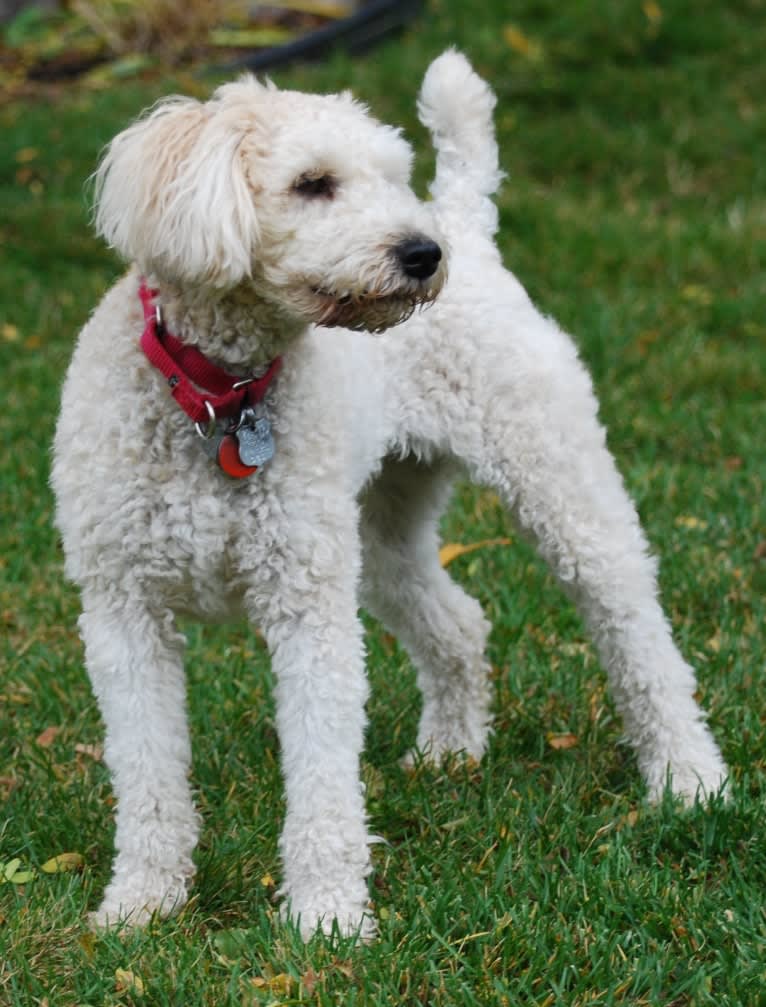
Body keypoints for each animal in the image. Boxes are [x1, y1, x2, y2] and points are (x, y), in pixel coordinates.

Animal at [50, 51, 724, 938]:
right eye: (312, 182)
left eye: (392, 178)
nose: (423, 253)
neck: (220, 398)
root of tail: (465, 217)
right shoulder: (124, 615)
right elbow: (148, 777)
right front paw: (143, 903)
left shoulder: (308, 609)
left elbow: (322, 780)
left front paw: (327, 918)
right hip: (378, 536)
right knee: (460, 622)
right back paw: (451, 749)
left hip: (558, 483)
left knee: (638, 634)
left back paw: (690, 779)